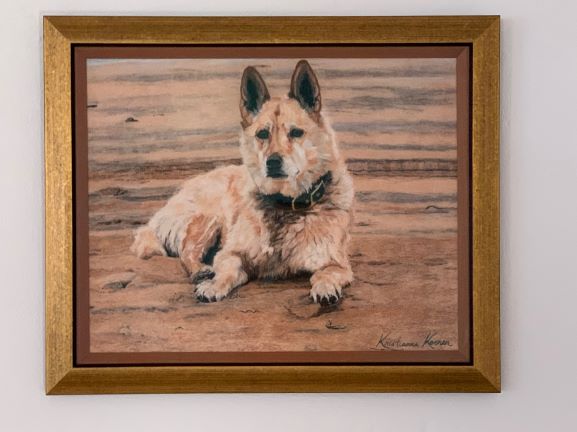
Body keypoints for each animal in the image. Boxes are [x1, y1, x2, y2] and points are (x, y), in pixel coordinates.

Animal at [131, 60, 354, 304]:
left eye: (296, 132)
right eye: (262, 134)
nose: (272, 162)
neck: (284, 204)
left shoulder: (337, 263)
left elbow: (326, 274)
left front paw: (325, 288)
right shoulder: (230, 253)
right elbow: (226, 269)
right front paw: (213, 285)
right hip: (209, 219)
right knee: (186, 251)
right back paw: (200, 270)